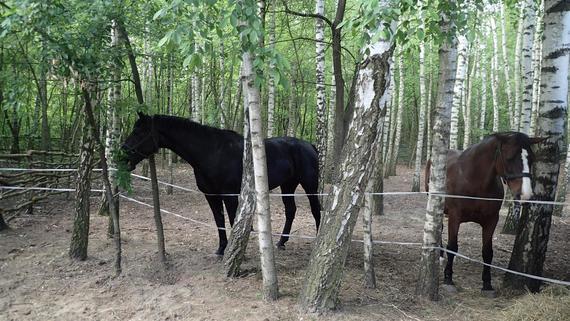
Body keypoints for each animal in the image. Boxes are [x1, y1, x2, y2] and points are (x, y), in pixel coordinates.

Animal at [120, 111, 320, 254]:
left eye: (139, 132)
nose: (122, 153)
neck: (212, 152)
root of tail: (309, 145)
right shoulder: (211, 195)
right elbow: (219, 220)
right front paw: (222, 248)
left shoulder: (229, 195)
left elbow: (233, 221)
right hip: (288, 185)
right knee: (290, 210)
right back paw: (281, 242)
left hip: (310, 186)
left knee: (316, 210)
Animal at [424, 132, 544, 296]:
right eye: (509, 158)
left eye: (531, 159)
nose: (526, 195)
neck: (474, 180)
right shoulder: (455, 217)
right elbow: (453, 247)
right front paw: (448, 279)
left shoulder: (491, 220)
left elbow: (488, 252)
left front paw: (487, 284)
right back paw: (441, 257)